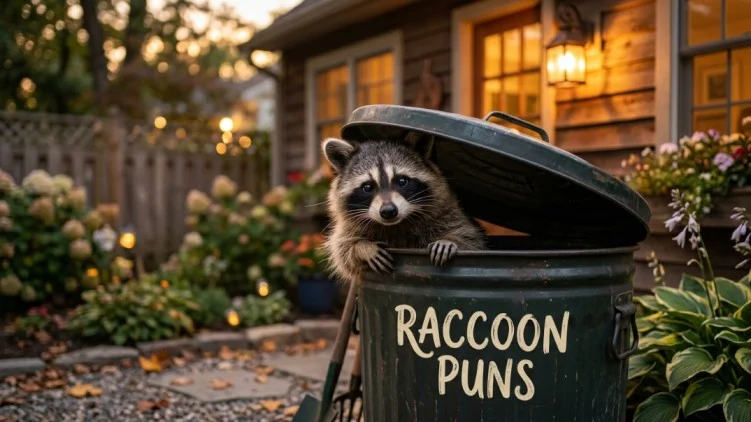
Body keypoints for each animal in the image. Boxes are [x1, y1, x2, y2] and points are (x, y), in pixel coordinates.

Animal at [321, 134, 486, 285]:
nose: (388, 211)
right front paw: (362, 248)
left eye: (402, 181)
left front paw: (449, 240)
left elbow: (470, 238)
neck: (396, 225)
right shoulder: (350, 226)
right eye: (367, 187)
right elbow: (342, 250)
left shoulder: (446, 213)